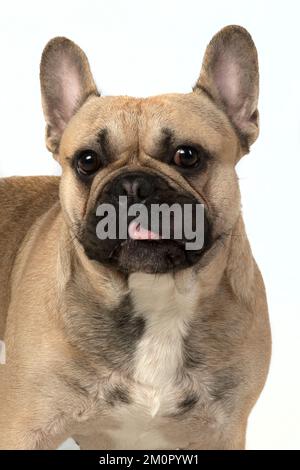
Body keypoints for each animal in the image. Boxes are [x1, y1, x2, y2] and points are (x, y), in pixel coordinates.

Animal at [0, 24, 272, 448]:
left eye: (187, 155)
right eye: (87, 161)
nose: (132, 184)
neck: (157, 295)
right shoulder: (24, 426)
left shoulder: (223, 431)